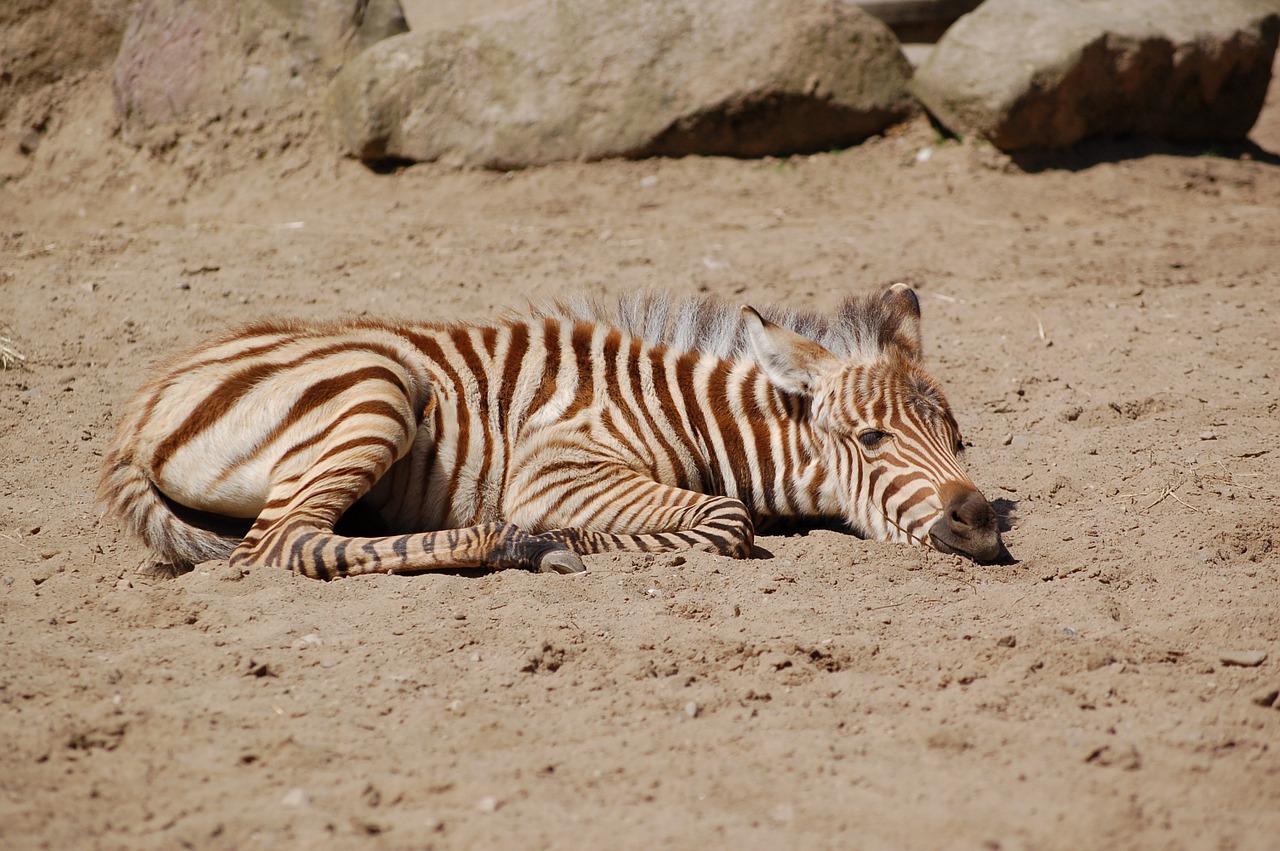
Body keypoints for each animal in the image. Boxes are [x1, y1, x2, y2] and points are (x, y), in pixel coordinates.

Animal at [97, 280, 998, 578]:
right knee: (280, 546)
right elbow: (727, 519)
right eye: (872, 440)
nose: (981, 518)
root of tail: (142, 404)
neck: (688, 414)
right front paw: (555, 535)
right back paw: (517, 544)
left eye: (960, 441)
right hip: (376, 389)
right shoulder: (558, 466)